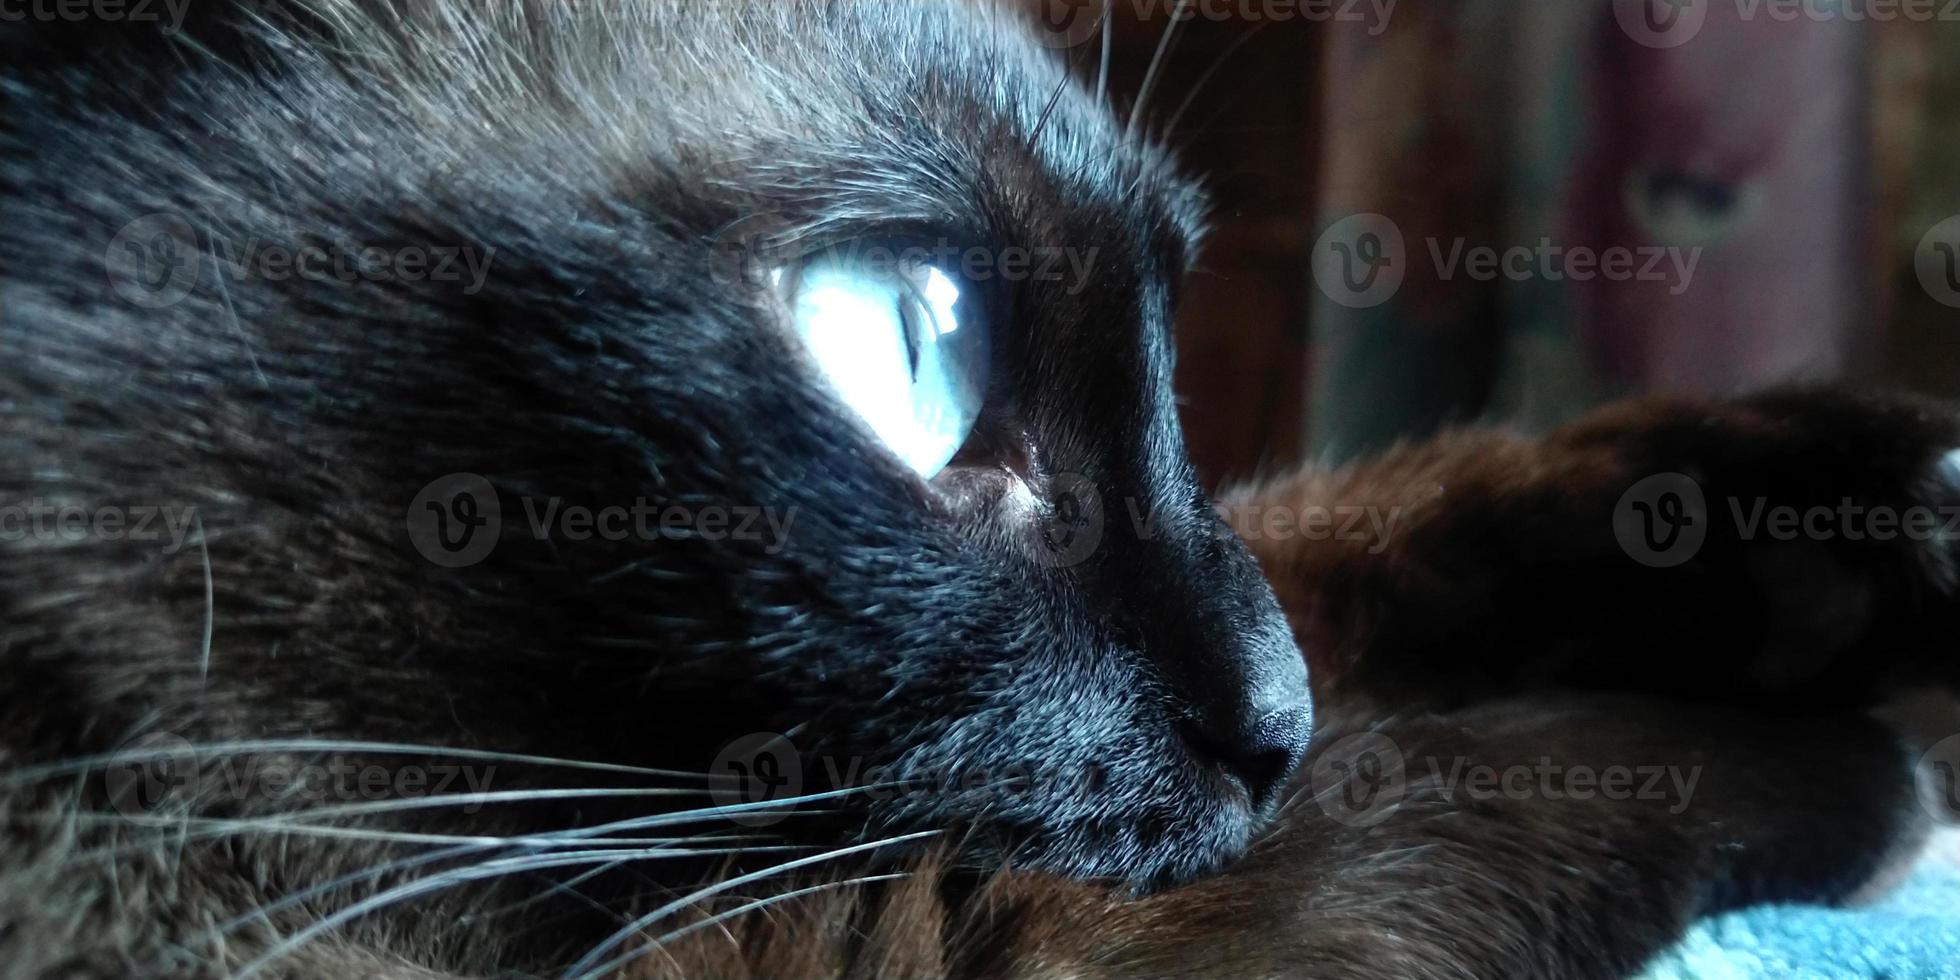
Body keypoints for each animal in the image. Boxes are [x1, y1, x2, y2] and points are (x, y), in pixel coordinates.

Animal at [0, 0, 1952, 976]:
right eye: (904, 352)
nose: (1271, 726)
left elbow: (1326, 527)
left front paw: (1820, 531)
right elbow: (1418, 796)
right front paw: (1846, 766)